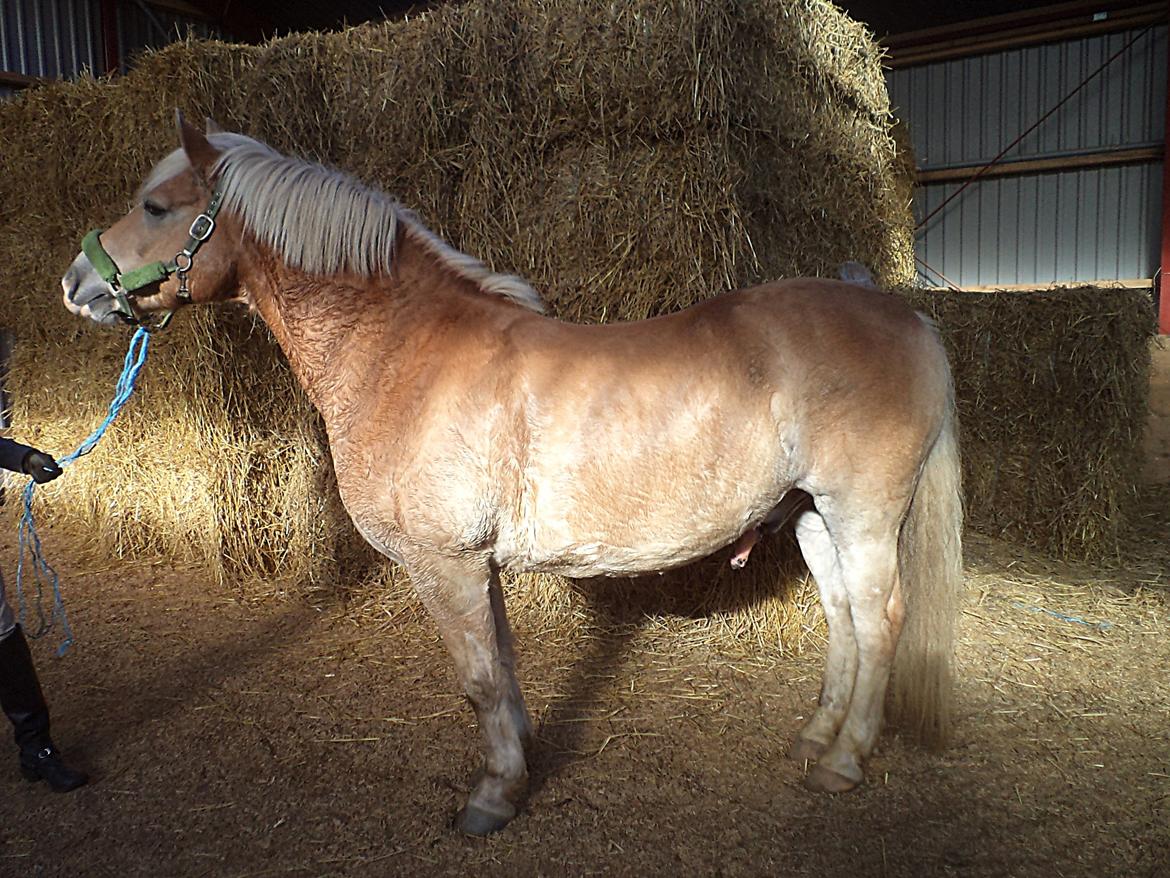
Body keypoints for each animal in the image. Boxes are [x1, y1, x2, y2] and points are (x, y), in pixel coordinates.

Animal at [59, 117, 964, 838]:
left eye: (157, 206)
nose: (76, 283)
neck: (400, 350)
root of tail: (905, 315)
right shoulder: (475, 564)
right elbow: (503, 668)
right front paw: (521, 755)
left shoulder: (444, 563)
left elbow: (478, 678)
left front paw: (493, 796)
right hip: (812, 514)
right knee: (843, 619)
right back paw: (815, 738)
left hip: (863, 510)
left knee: (880, 619)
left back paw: (843, 760)